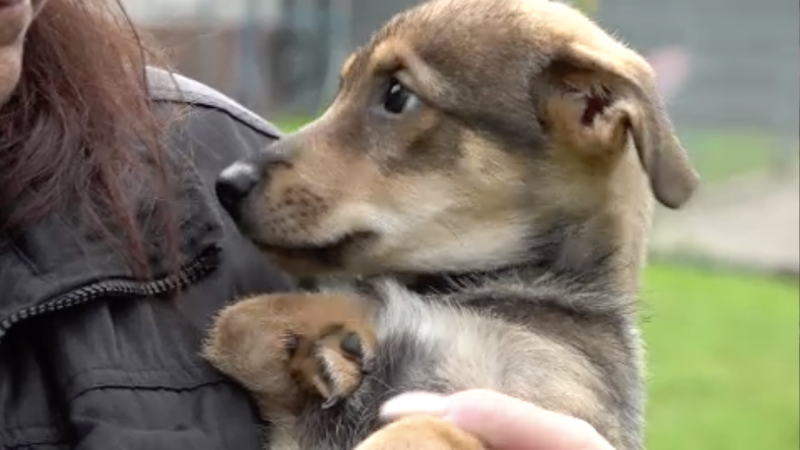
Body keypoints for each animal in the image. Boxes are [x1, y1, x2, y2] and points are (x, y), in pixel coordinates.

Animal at [203, 0, 696, 450]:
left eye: (397, 96)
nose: (226, 185)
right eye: (340, 89)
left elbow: (423, 426)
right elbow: (234, 320)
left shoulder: (540, 405)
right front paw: (331, 348)